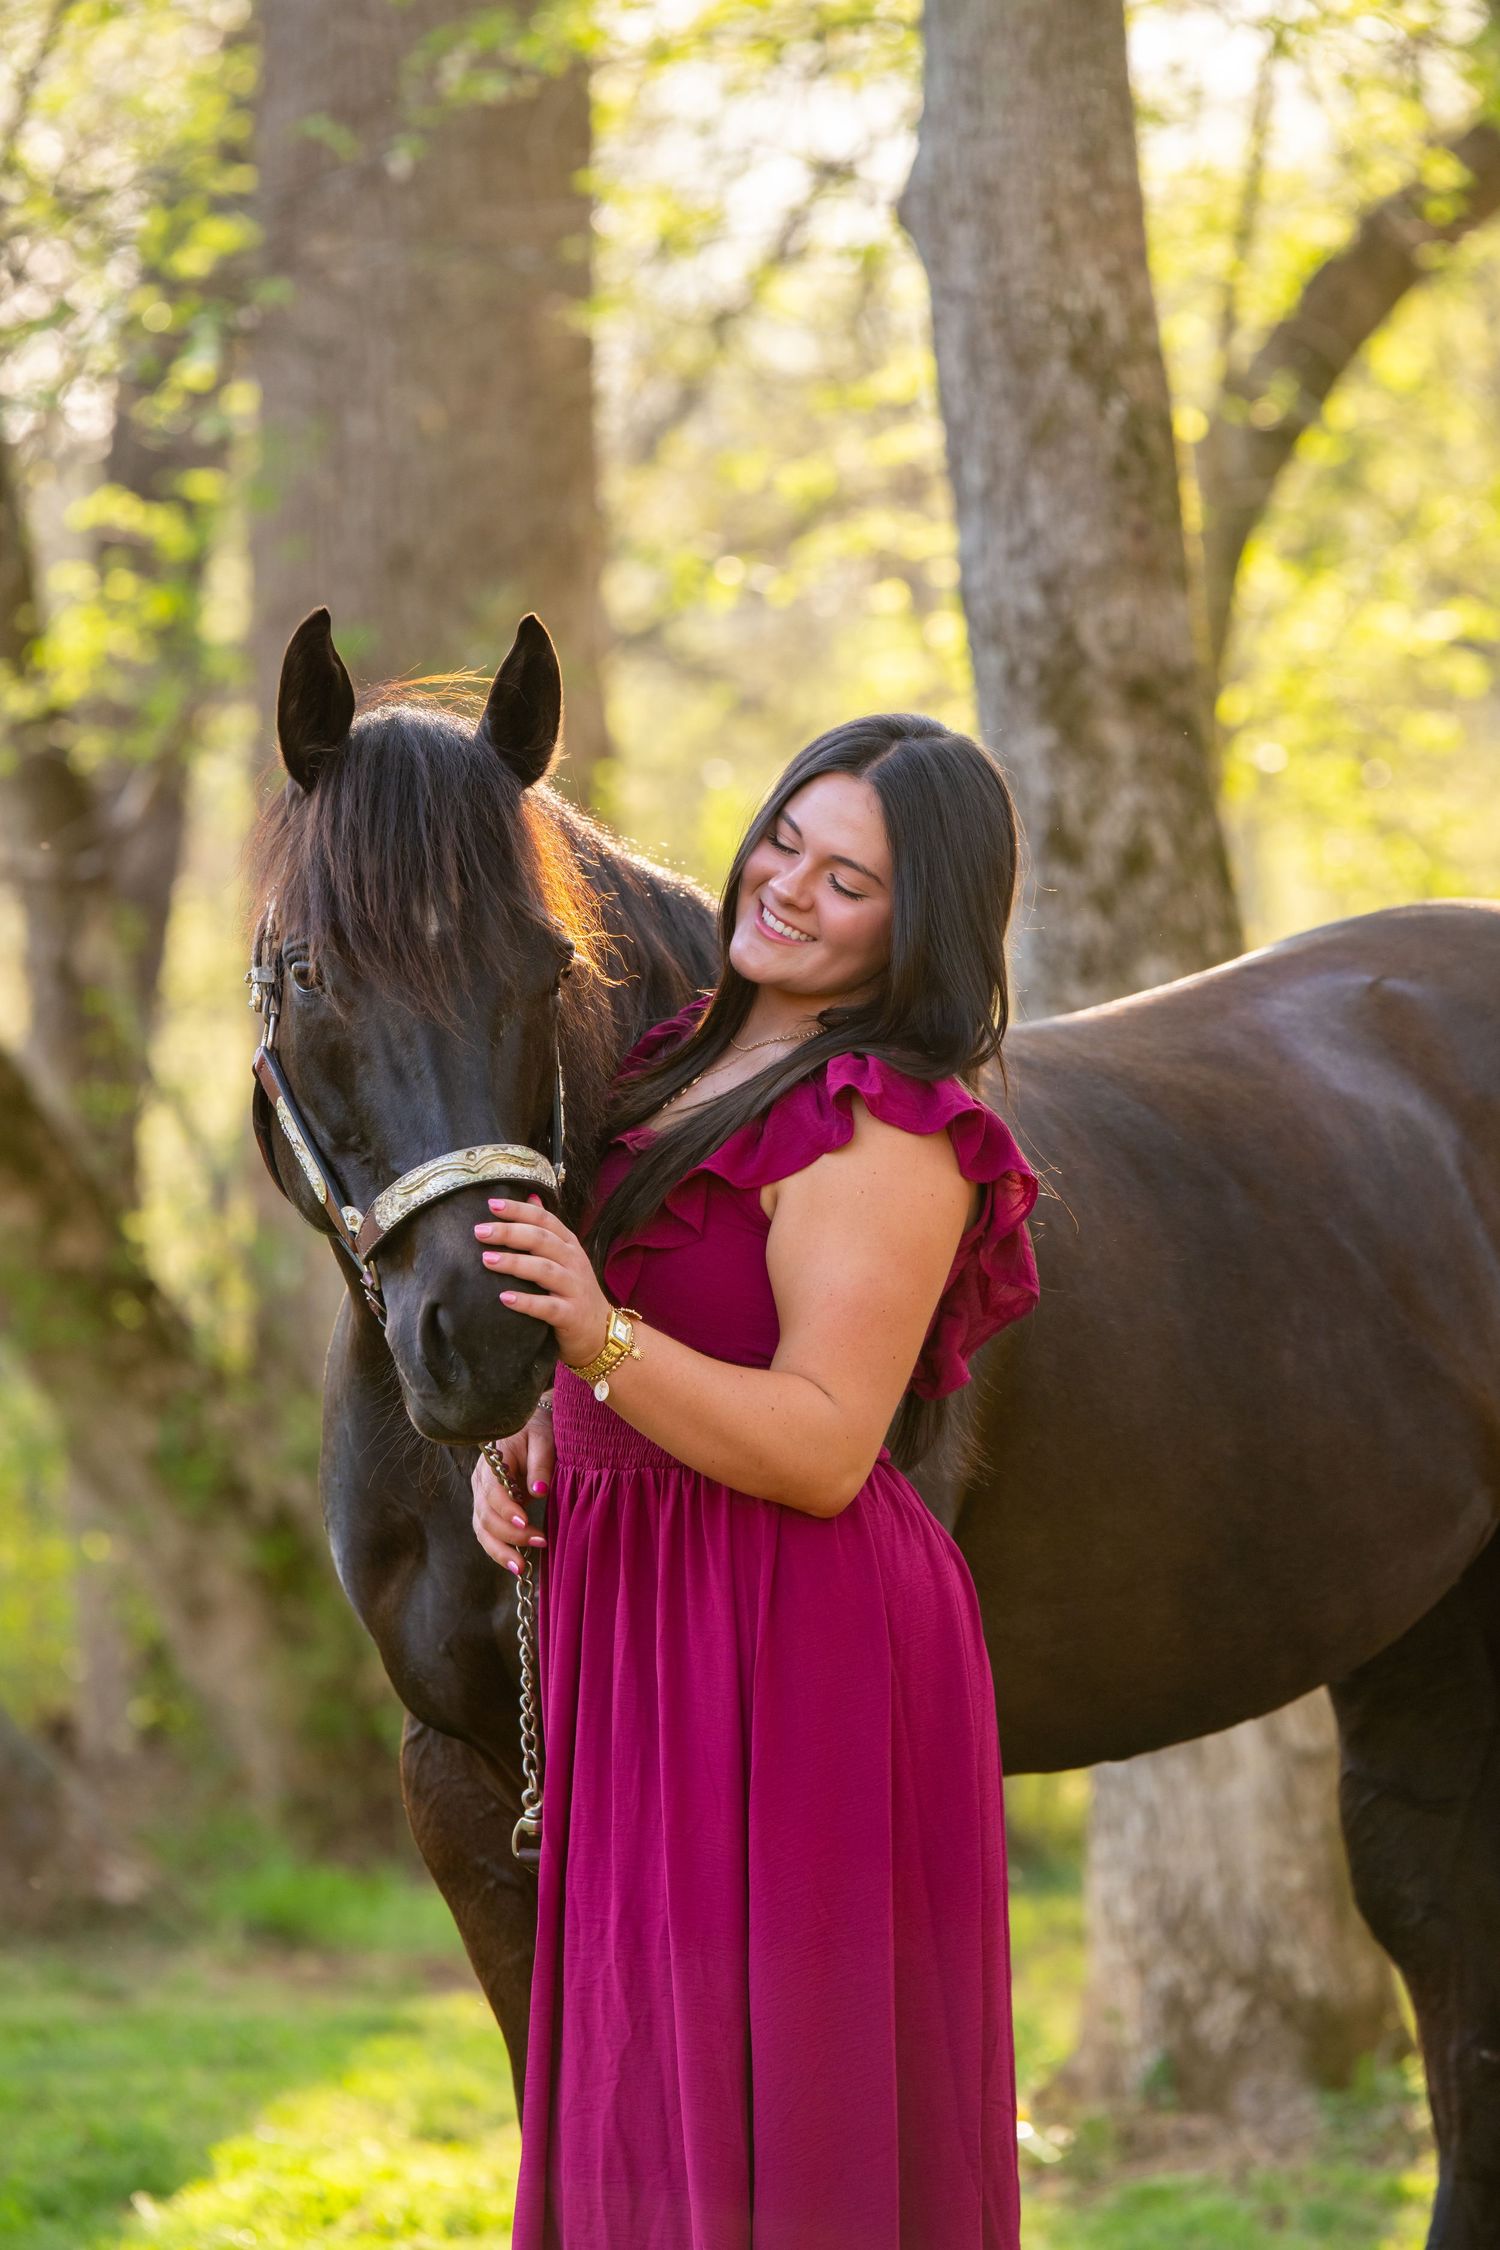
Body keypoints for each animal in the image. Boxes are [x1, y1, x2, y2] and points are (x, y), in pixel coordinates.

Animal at [247, 607, 1500, 2249]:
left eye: (549, 964)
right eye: (311, 970)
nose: (483, 1331)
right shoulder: (464, 1783)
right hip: (1423, 1624)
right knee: (1442, 1921)